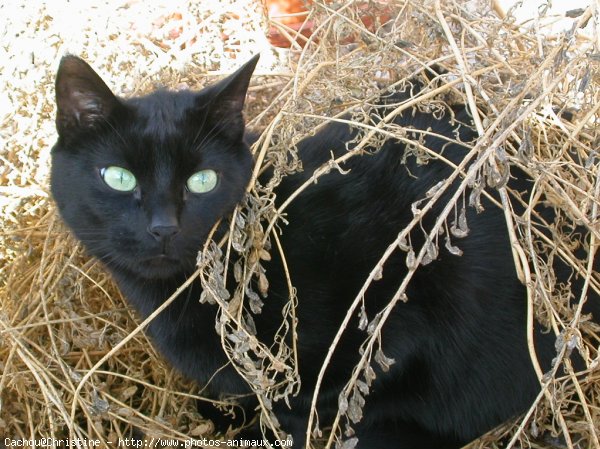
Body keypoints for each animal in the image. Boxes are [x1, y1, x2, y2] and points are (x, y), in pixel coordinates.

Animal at [51, 54, 600, 446]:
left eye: (202, 180)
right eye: (119, 178)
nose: (164, 227)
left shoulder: (390, 324)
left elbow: (319, 402)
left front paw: (265, 425)